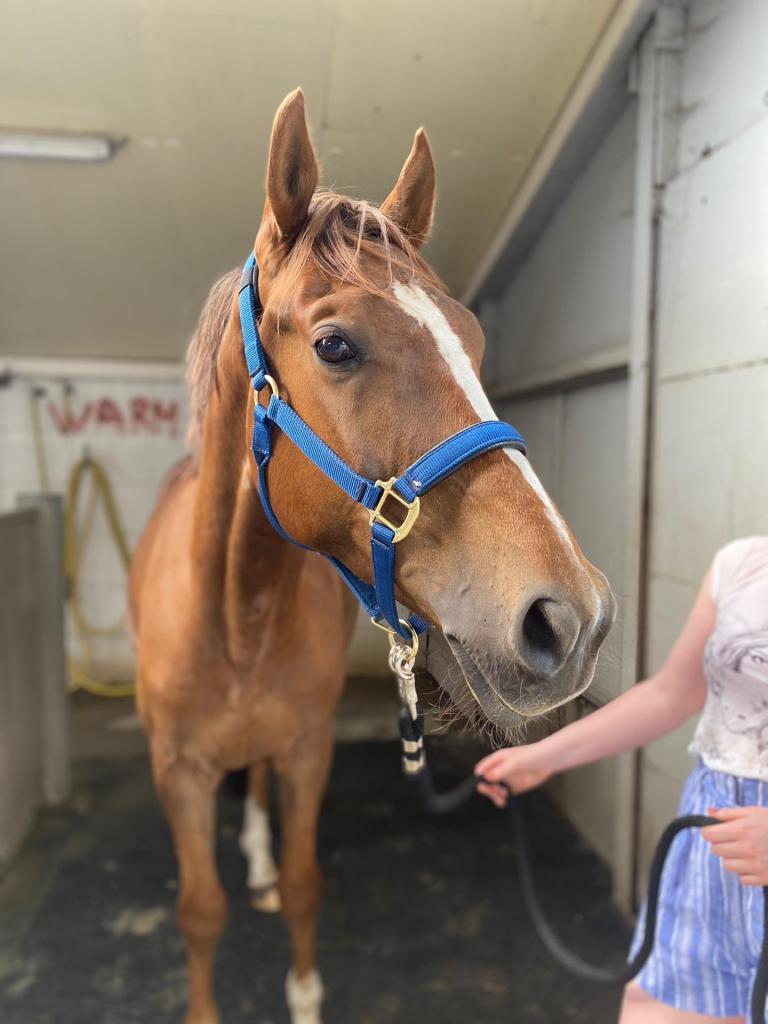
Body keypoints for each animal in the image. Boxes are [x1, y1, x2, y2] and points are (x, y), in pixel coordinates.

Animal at [129, 88, 615, 1024]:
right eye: (335, 345)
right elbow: (199, 910)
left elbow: (306, 882)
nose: (572, 620)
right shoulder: (176, 771)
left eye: (475, 342)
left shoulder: (307, 749)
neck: (236, 616)